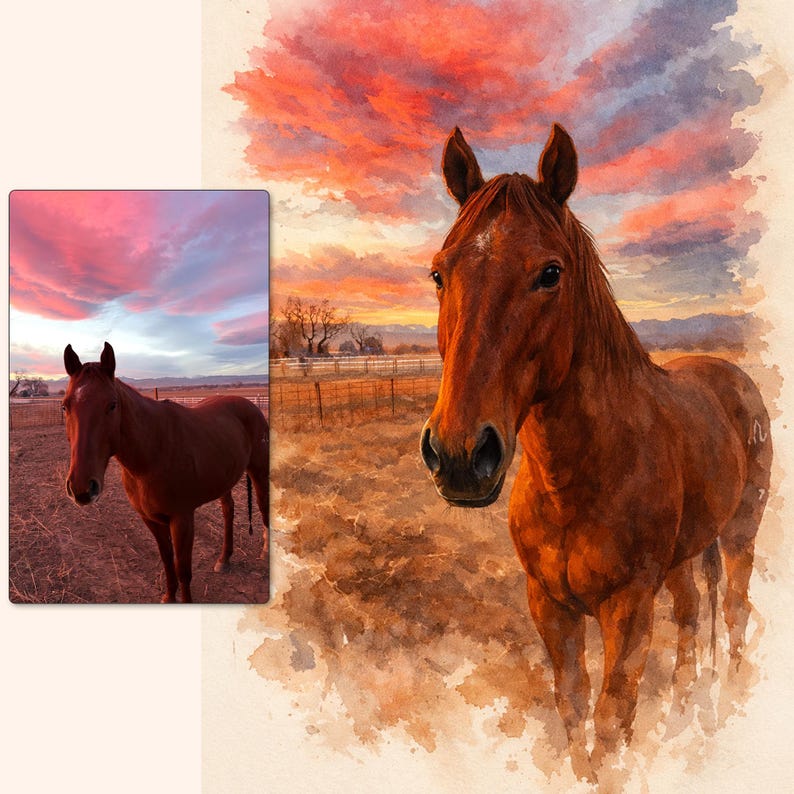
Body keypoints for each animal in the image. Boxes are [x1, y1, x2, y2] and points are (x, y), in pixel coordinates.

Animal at [62, 342, 269, 603]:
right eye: (65, 406)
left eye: (112, 405)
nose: (81, 488)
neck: (153, 453)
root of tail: (250, 404)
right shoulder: (151, 520)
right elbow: (167, 561)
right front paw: (169, 597)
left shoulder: (182, 519)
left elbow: (182, 569)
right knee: (228, 511)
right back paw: (224, 559)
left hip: (259, 472)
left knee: (264, 507)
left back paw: (266, 552)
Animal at [419, 124, 772, 779]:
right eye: (438, 274)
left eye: (550, 272)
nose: (459, 454)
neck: (578, 480)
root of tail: (731, 374)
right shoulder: (550, 609)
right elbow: (574, 712)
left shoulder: (626, 611)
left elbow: (612, 725)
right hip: (685, 557)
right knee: (692, 618)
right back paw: (684, 708)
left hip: (741, 532)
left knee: (735, 611)